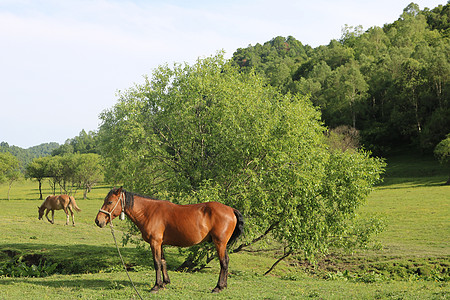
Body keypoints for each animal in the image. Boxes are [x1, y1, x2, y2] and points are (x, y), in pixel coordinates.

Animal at [94, 188, 243, 292]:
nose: (98, 221)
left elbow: (156, 263)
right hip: (223, 244)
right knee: (226, 261)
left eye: (110, 202)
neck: (148, 212)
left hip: (219, 243)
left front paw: (156, 286)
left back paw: (218, 287)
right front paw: (164, 283)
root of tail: (231, 209)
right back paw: (224, 285)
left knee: (223, 263)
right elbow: (163, 262)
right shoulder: (160, 244)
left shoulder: (155, 243)